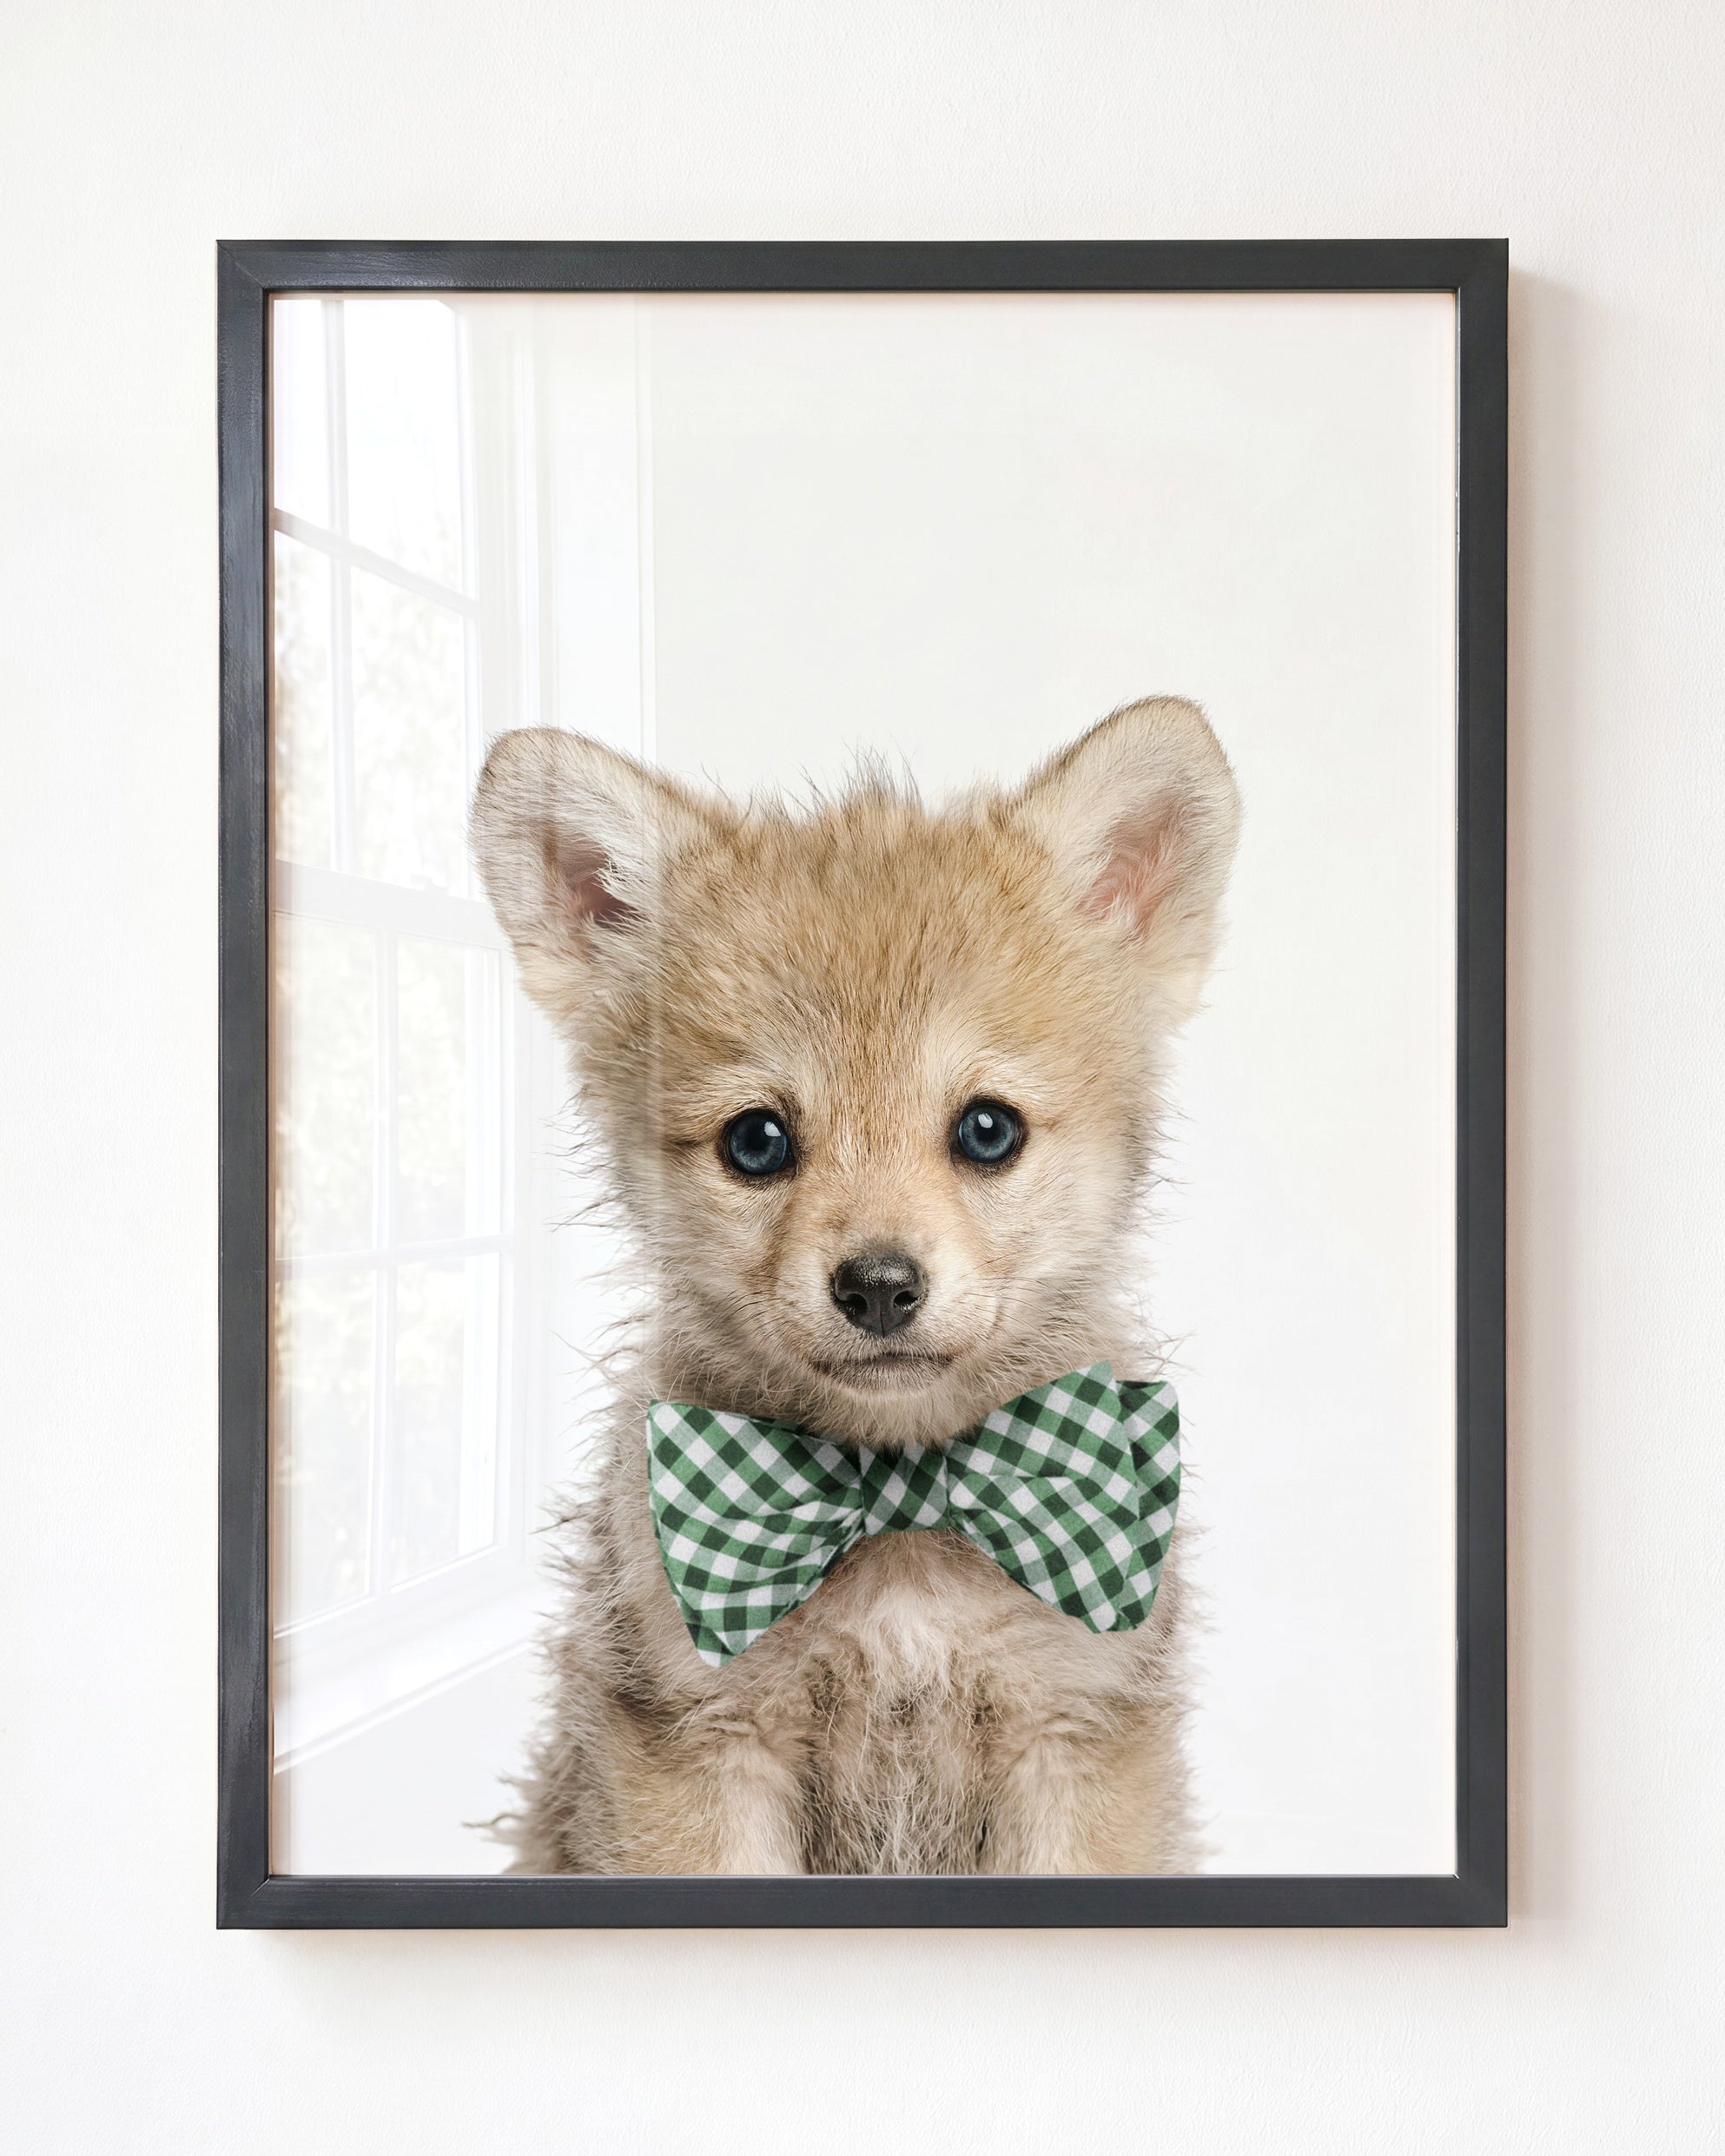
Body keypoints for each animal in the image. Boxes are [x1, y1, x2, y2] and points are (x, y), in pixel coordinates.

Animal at [471, 697, 1240, 1873]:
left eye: (987, 1129)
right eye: (756, 1141)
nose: (879, 1286)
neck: (903, 1508)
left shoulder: (1074, 1734)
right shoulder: (704, 1741)